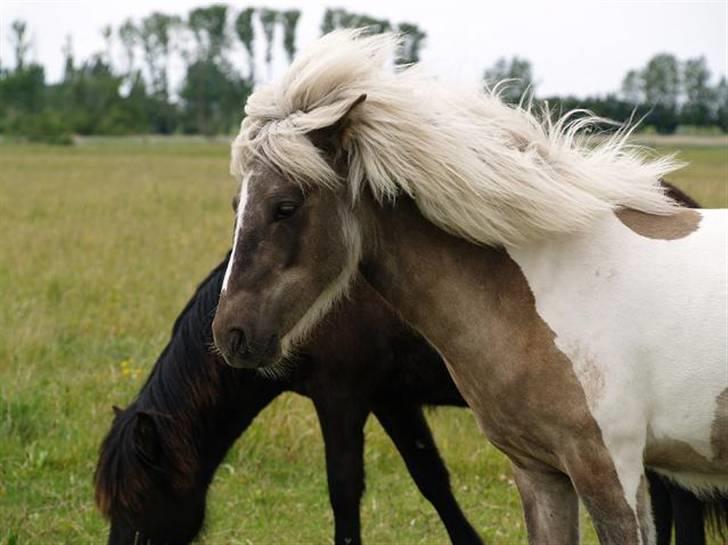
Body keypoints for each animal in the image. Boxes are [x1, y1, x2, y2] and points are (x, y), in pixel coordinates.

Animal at [213, 30, 724, 544]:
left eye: (285, 207)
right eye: (236, 205)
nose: (230, 334)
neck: (550, 288)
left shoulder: (609, 470)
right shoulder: (540, 472)